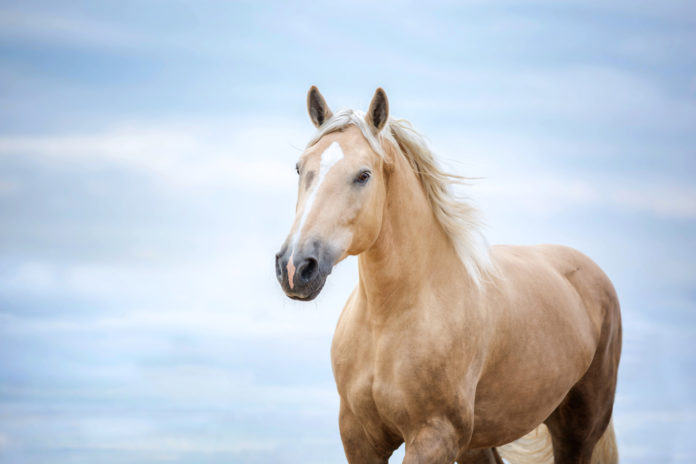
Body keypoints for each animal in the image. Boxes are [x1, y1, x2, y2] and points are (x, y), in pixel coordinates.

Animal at [274, 86, 622, 464]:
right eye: (300, 168)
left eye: (364, 175)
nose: (295, 266)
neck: (389, 321)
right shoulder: (359, 439)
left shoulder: (433, 438)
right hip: (479, 441)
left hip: (578, 430)